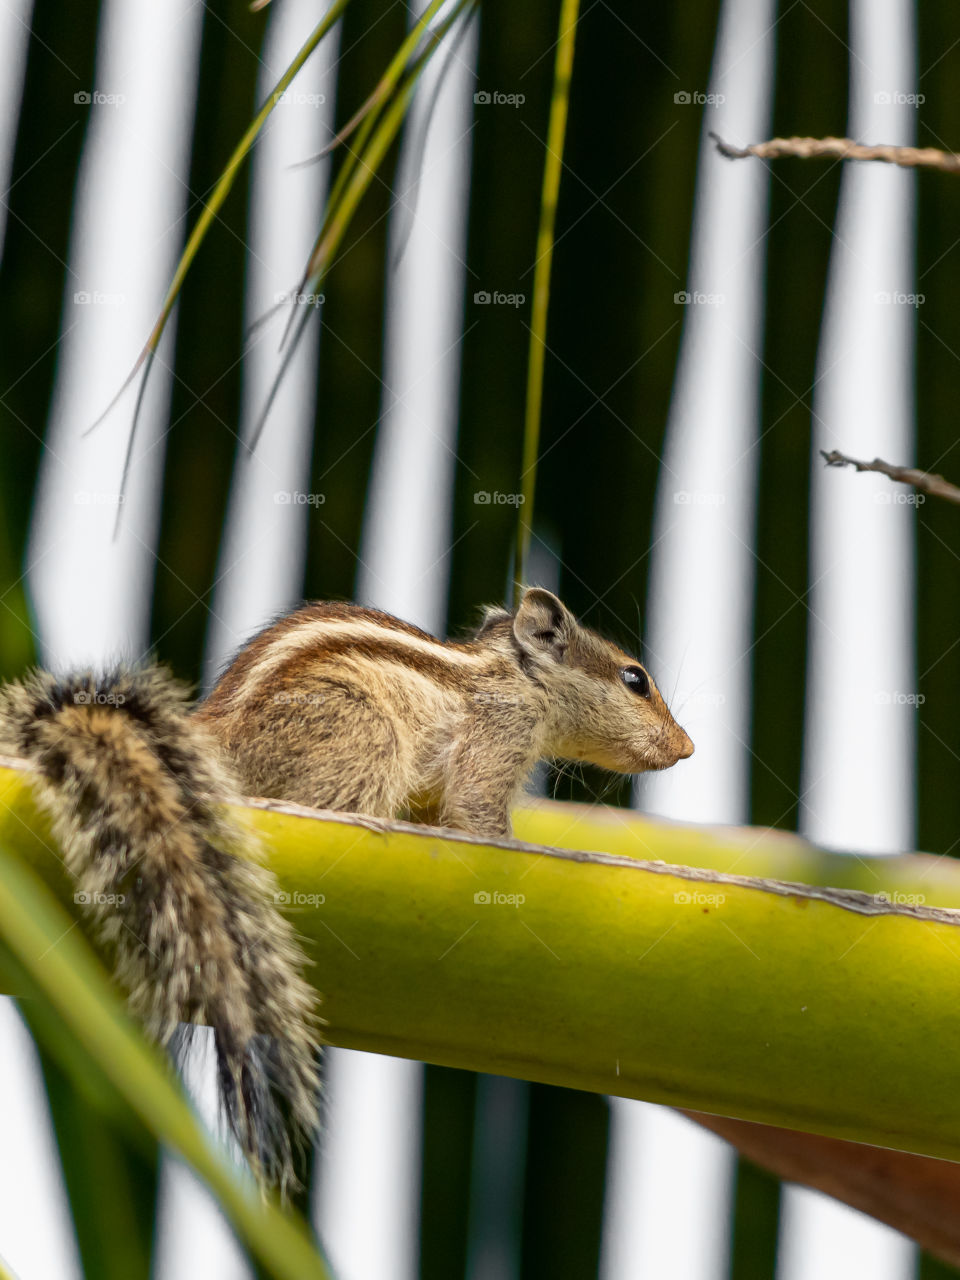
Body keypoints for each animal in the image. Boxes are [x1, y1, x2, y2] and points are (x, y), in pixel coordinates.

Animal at [0, 587, 691, 1191]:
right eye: (634, 679)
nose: (686, 748)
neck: (515, 675)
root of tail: (206, 742)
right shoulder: (496, 738)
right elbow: (479, 814)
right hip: (363, 733)